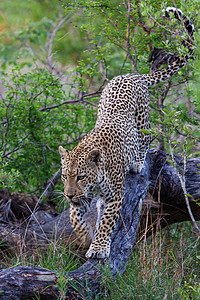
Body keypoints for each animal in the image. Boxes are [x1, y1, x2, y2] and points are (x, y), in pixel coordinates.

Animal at [58, 8, 195, 258]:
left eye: (80, 177)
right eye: (65, 176)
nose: (68, 195)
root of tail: (134, 75)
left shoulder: (114, 196)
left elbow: (107, 222)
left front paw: (99, 247)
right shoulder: (83, 198)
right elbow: (74, 217)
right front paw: (86, 237)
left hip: (142, 121)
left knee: (147, 138)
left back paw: (138, 163)